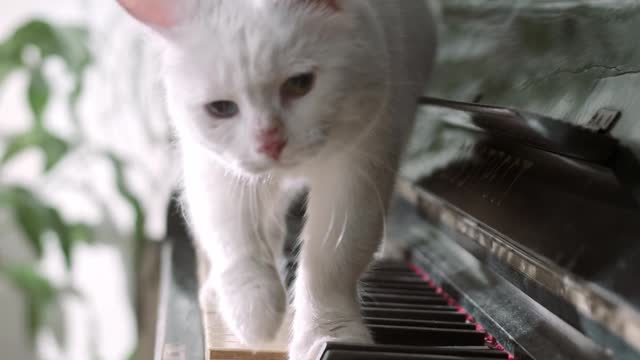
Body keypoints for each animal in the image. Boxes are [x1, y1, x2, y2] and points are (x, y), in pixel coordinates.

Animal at [115, 1, 438, 358]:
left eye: (300, 83)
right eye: (221, 108)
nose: (270, 142)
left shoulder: (360, 166)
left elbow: (332, 263)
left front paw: (329, 335)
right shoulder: (216, 170)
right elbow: (236, 240)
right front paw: (255, 316)